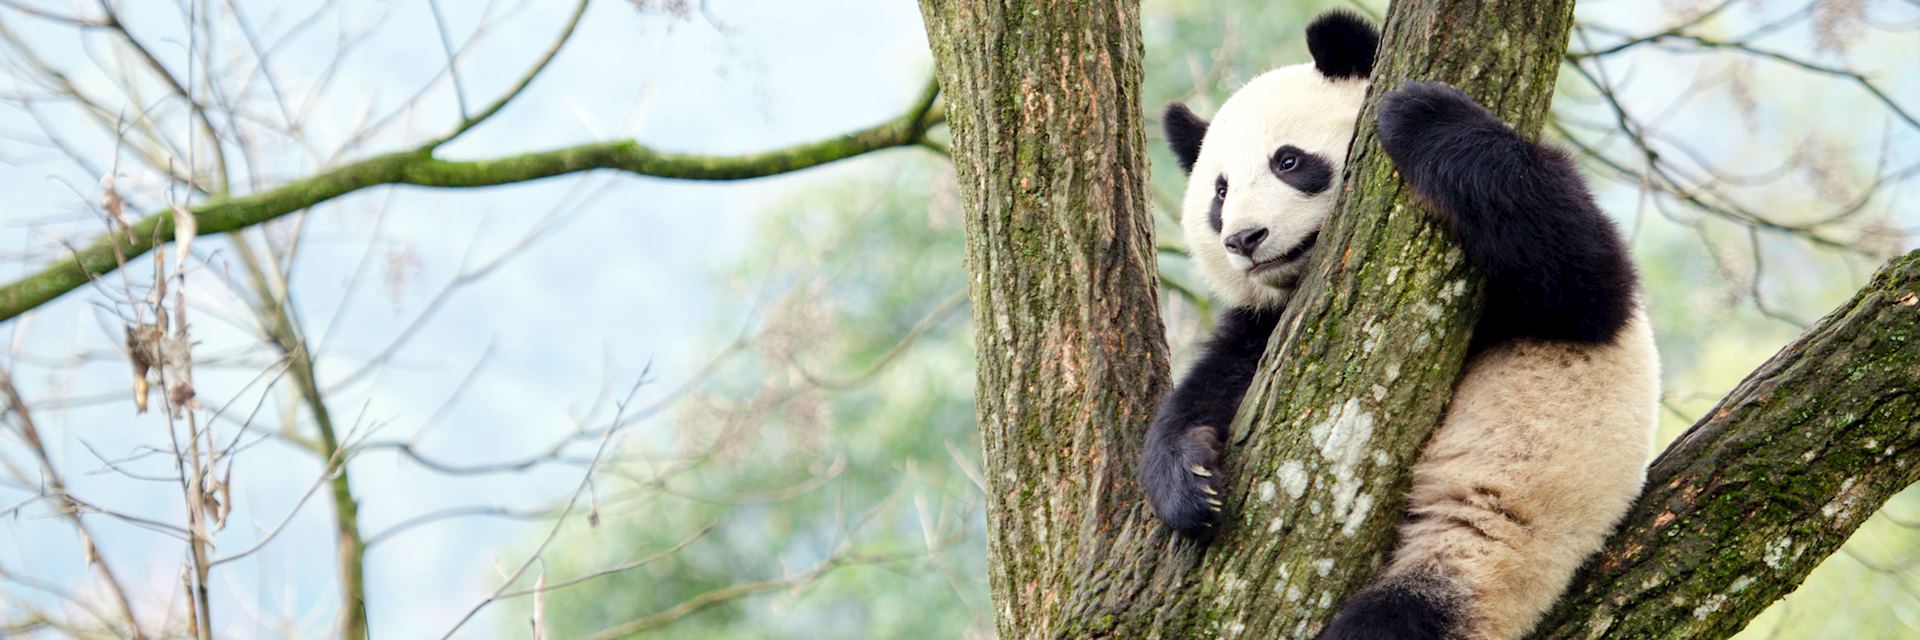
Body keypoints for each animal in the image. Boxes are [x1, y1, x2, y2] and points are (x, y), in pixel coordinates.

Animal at [1136, 9, 1666, 638]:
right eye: (1219, 192)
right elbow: (1217, 382)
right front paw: (1189, 482)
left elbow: (1584, 279)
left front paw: (1422, 114)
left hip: (1490, 549)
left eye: (1288, 161)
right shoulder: (1267, 322)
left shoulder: (1549, 292)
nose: (1244, 239)